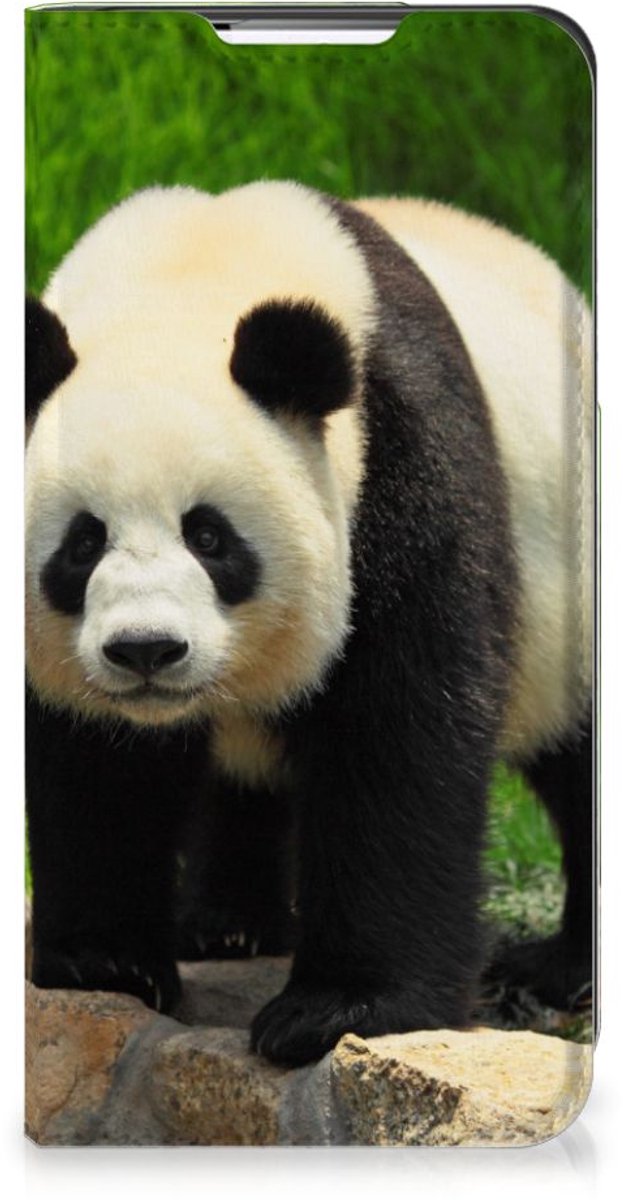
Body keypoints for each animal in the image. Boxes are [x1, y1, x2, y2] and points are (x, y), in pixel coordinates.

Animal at [25, 181, 593, 1066]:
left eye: (210, 536)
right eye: (83, 544)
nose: (146, 650)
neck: (187, 279)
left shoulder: (400, 461)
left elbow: (397, 732)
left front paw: (339, 1010)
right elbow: (94, 762)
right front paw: (105, 962)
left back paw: (556, 970)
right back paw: (226, 924)